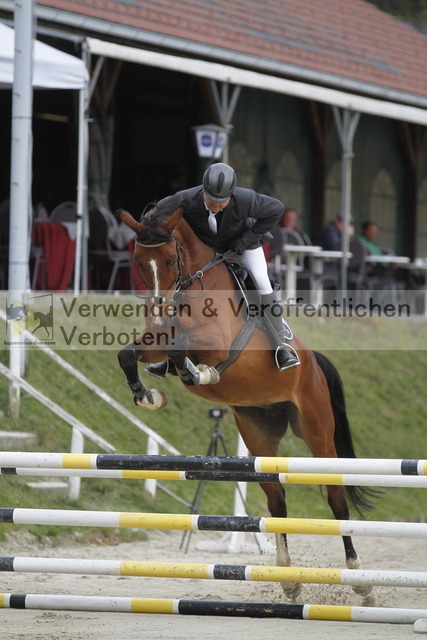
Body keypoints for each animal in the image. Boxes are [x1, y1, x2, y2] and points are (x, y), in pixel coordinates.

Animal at [117, 204, 375, 601]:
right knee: (277, 499)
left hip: (317, 431)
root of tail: (313, 362)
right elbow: (129, 354)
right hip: (258, 433)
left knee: (336, 498)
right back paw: (289, 579)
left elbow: (184, 349)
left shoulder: (217, 343)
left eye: (170, 259)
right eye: (140, 262)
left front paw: (200, 374)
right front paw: (150, 395)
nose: (159, 310)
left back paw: (359, 579)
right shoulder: (155, 340)